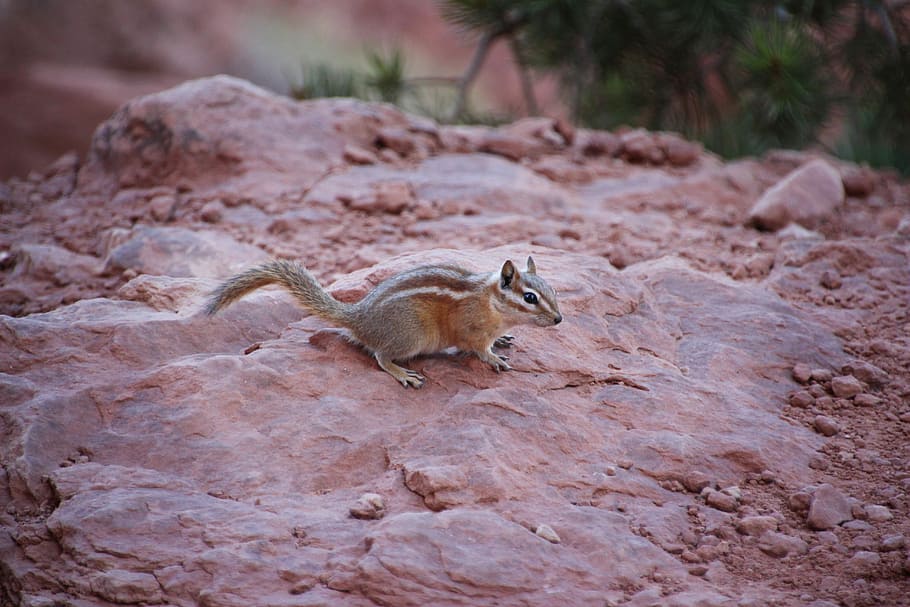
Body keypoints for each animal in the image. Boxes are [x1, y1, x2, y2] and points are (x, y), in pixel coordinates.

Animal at [205, 256, 562, 388]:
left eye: (553, 290)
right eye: (530, 297)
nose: (559, 318)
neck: (491, 301)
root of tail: (358, 316)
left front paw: (501, 341)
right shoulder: (472, 331)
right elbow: (477, 348)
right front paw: (493, 357)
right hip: (413, 335)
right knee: (379, 355)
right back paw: (403, 374)